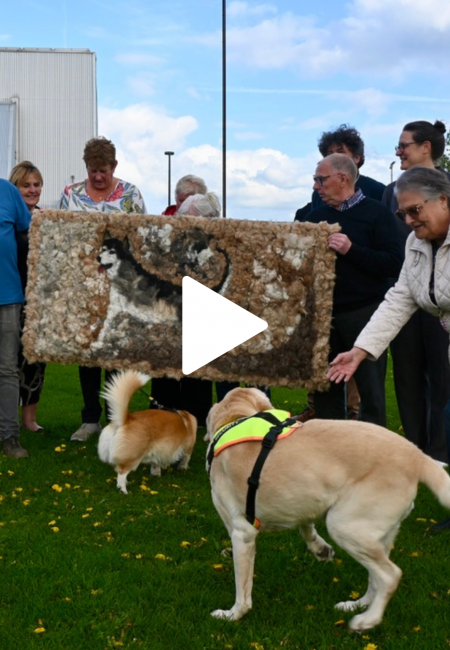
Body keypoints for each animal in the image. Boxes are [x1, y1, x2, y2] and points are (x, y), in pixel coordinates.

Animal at [206, 387, 450, 631]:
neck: (234, 418)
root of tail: (418, 456)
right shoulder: (301, 500)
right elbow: (305, 526)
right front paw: (320, 549)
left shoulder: (241, 533)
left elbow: (243, 588)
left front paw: (233, 614)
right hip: (376, 535)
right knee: (376, 578)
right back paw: (357, 605)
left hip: (344, 526)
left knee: (390, 575)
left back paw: (367, 619)